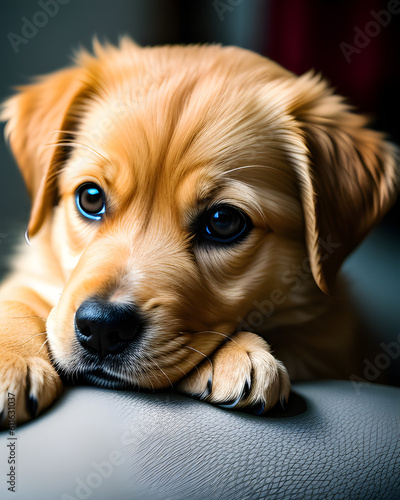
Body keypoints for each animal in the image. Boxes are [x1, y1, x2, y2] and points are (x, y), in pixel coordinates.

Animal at [0, 39, 396, 424]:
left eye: (223, 221)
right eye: (90, 197)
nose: (102, 328)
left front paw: (235, 352)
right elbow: (16, 300)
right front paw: (11, 357)